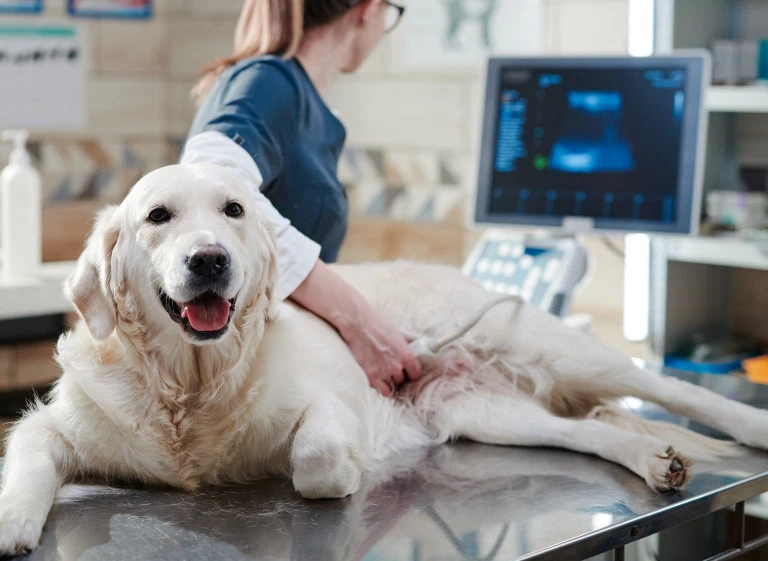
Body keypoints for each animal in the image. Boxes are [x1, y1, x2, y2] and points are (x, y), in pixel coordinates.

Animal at [1, 163, 768, 556]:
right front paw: (14, 522)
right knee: (590, 431)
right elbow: (28, 458)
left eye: (234, 211)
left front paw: (342, 470)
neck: (190, 385)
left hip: (549, 345)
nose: (210, 259)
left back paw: (747, 426)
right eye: (158, 217)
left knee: (663, 386)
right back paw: (653, 460)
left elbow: (313, 457)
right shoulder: (50, 425)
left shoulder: (329, 402)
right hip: (488, 412)